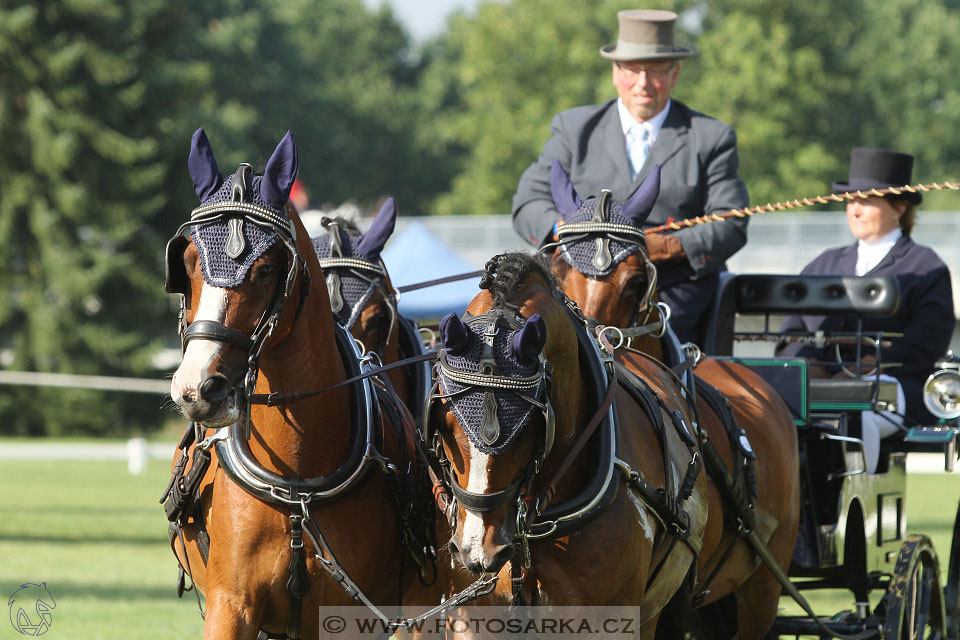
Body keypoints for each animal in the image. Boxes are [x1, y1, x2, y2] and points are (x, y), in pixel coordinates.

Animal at [160, 130, 428, 640]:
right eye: (188, 261)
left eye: (267, 269)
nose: (199, 388)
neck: (296, 487)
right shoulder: (231, 605)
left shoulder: (349, 615)